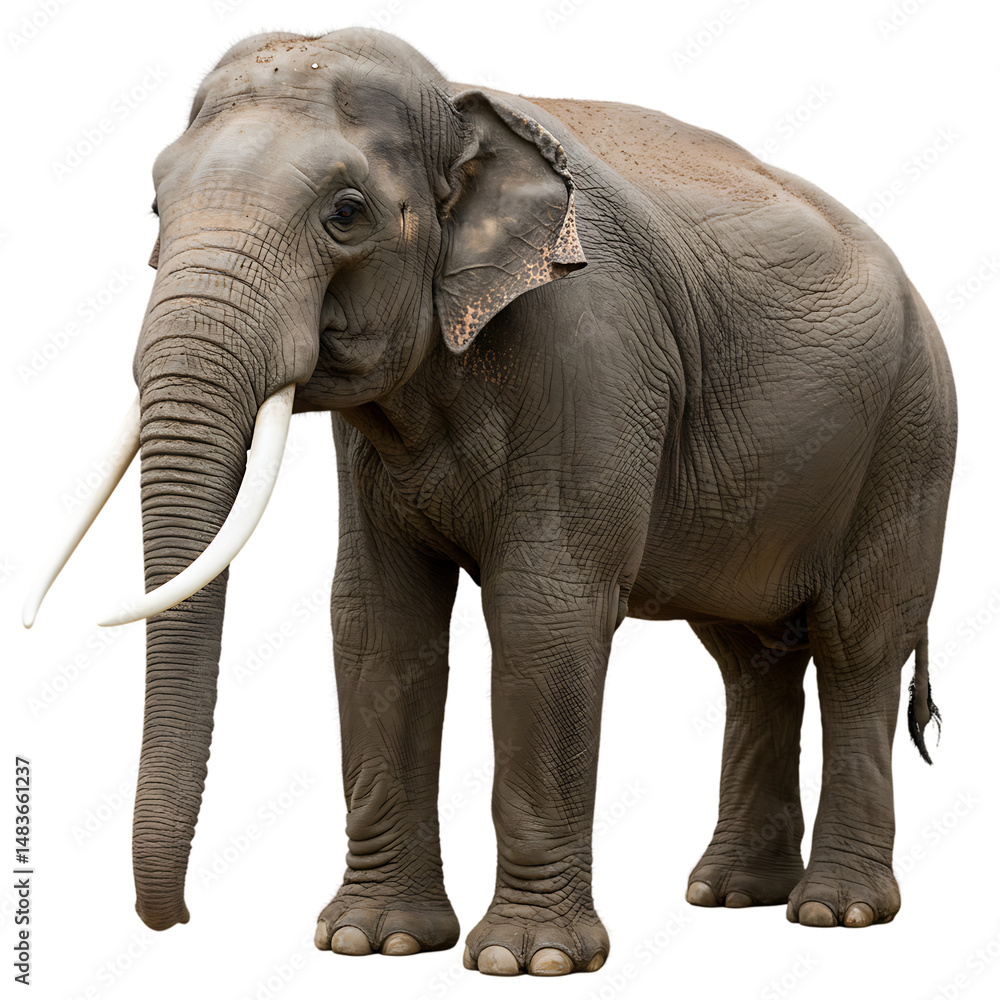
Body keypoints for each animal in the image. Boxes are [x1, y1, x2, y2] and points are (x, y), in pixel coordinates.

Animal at [24, 27, 956, 978]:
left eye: (346, 213)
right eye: (154, 207)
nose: (173, 921)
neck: (461, 103)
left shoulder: (593, 351)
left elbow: (543, 609)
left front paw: (527, 960)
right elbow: (376, 619)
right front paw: (374, 942)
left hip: (912, 439)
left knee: (857, 646)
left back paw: (835, 912)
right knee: (752, 656)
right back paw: (730, 895)